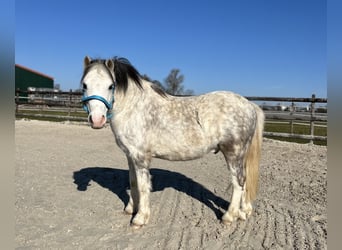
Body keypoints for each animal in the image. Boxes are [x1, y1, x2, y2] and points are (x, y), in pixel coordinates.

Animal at [81, 56, 264, 229]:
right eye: (84, 85)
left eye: (111, 86)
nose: (97, 120)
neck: (133, 108)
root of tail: (249, 104)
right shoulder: (130, 156)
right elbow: (133, 182)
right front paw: (130, 209)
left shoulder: (140, 157)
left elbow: (142, 186)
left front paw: (140, 218)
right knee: (245, 181)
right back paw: (244, 212)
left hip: (233, 153)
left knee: (238, 182)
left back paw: (229, 216)